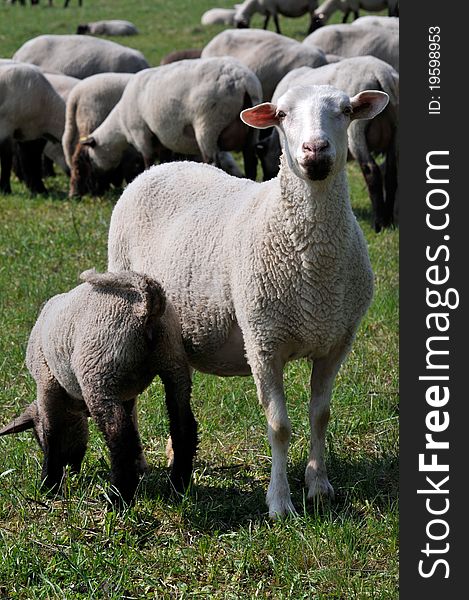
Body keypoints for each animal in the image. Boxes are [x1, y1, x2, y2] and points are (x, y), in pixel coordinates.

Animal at [0, 270, 197, 504]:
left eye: (36, 437)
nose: (71, 468)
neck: (73, 405)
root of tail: (146, 300)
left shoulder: (46, 383)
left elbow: (52, 433)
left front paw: (48, 485)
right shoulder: (125, 395)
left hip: (98, 373)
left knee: (119, 435)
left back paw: (118, 498)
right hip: (173, 361)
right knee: (183, 426)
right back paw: (178, 487)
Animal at [73, 55, 264, 192]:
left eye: (86, 159)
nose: (90, 193)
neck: (120, 123)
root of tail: (241, 80)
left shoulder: (141, 134)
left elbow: (148, 161)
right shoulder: (162, 141)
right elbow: (164, 160)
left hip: (208, 124)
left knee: (213, 161)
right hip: (251, 131)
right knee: (250, 162)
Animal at [107, 84, 388, 520]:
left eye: (345, 110)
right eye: (282, 115)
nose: (315, 150)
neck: (314, 264)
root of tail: (161, 166)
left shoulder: (337, 341)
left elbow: (320, 415)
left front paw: (318, 486)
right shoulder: (263, 341)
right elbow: (279, 426)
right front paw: (280, 502)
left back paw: (173, 453)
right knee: (130, 394)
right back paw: (138, 462)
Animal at [270, 55, 398, 230]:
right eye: (281, 114)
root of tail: (381, 71)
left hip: (356, 130)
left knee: (371, 170)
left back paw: (378, 223)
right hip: (396, 129)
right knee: (391, 173)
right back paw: (389, 220)